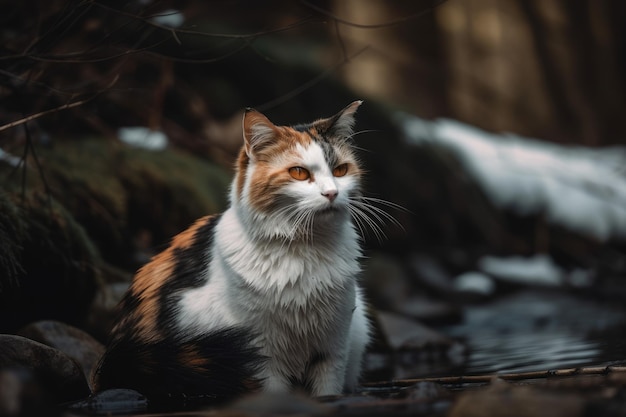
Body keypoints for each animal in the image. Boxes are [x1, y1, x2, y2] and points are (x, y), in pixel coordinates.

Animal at [91, 100, 376, 404]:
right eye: (299, 173)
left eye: (341, 170)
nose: (332, 193)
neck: (306, 250)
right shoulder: (260, 353)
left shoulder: (333, 347)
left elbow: (328, 391)